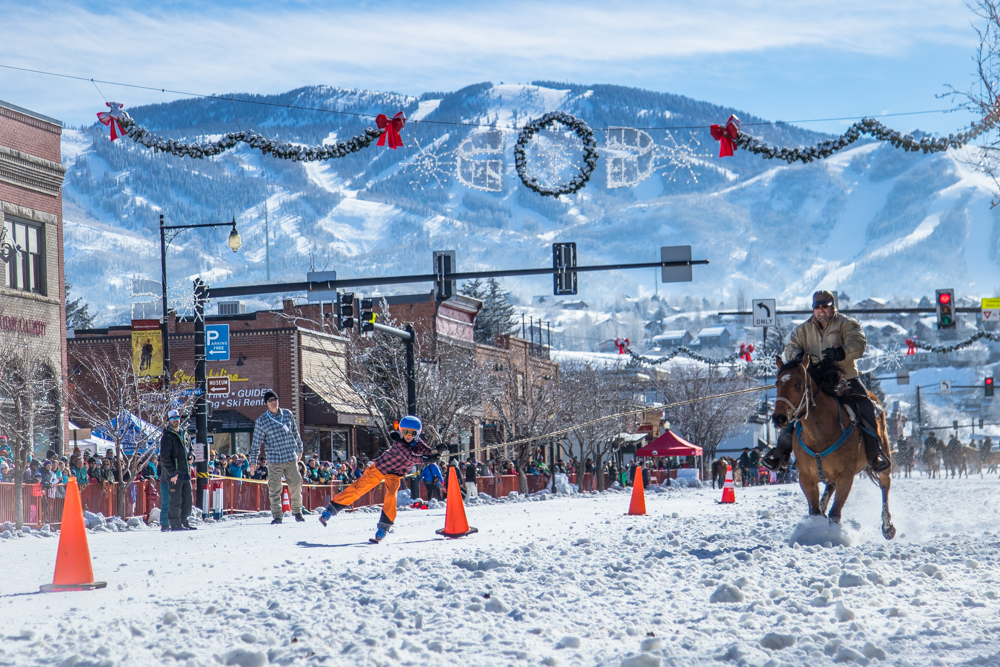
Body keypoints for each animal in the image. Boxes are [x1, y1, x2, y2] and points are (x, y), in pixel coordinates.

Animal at [772, 358, 900, 540]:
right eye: (777, 383)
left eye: (797, 384)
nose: (779, 418)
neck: (820, 433)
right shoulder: (806, 478)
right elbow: (815, 511)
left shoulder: (845, 477)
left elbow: (835, 514)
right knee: (829, 489)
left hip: (884, 457)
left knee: (885, 484)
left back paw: (887, 526)